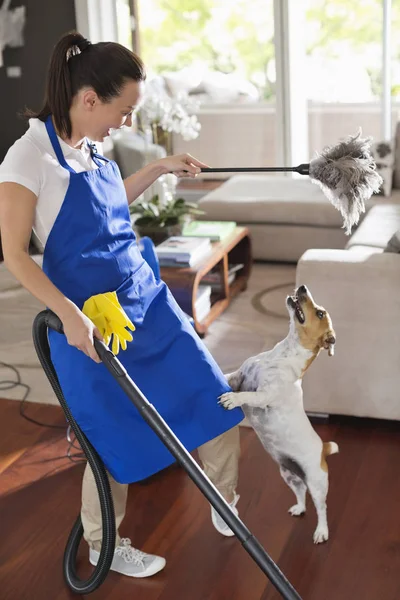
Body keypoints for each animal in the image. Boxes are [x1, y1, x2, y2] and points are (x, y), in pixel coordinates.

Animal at [220, 284, 340, 544]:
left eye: (320, 313)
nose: (303, 287)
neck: (281, 356)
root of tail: (323, 448)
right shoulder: (238, 376)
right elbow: (227, 376)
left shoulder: (265, 395)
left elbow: (249, 395)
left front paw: (233, 399)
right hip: (289, 475)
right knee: (301, 492)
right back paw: (299, 508)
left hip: (317, 484)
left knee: (322, 508)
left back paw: (321, 532)